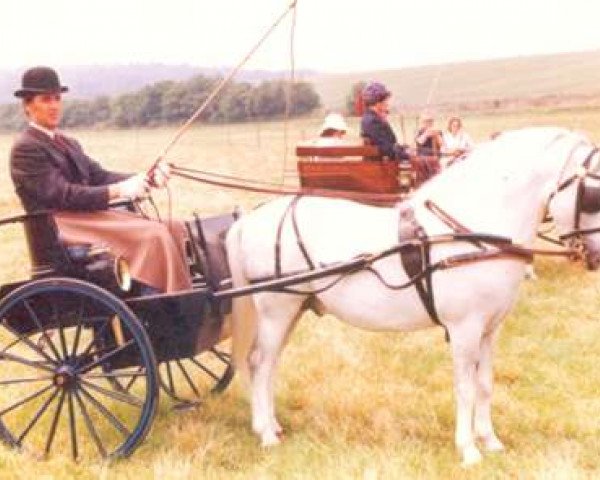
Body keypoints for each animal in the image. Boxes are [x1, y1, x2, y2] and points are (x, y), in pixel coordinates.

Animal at [224, 127, 600, 464]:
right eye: (593, 194)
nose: (595, 256)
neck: (470, 229)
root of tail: (251, 218)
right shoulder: (465, 329)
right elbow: (464, 387)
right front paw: (468, 450)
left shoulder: (490, 329)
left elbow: (484, 383)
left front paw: (490, 440)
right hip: (277, 309)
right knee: (260, 363)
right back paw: (266, 433)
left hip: (294, 309)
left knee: (270, 364)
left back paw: (272, 424)